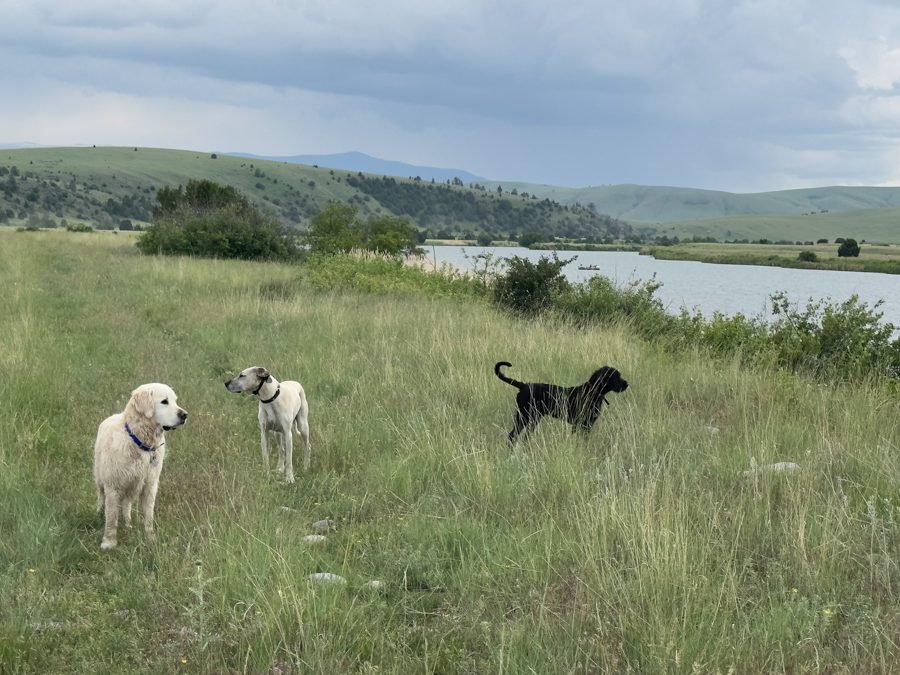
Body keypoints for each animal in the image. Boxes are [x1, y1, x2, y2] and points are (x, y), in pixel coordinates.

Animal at [93, 386, 188, 548]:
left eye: (175, 401)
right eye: (164, 401)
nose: (185, 415)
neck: (139, 443)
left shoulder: (150, 485)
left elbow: (148, 516)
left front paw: (150, 539)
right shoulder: (113, 486)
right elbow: (111, 517)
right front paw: (109, 542)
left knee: (126, 505)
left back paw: (128, 525)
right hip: (100, 478)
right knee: (101, 497)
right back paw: (100, 514)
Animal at [496, 360, 628, 444]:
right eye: (615, 376)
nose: (627, 384)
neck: (592, 392)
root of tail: (523, 385)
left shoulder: (587, 425)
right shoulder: (581, 424)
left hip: (533, 419)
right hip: (524, 417)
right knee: (512, 436)